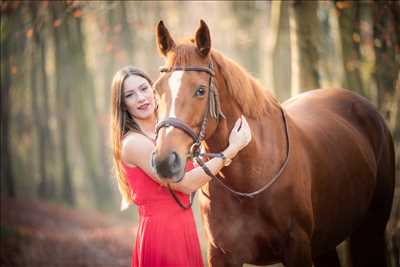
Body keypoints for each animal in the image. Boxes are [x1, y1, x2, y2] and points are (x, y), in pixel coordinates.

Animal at [152, 19, 396, 267]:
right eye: (156, 89)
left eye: (200, 90)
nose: (164, 161)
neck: (248, 180)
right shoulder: (220, 255)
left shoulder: (297, 247)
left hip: (372, 227)